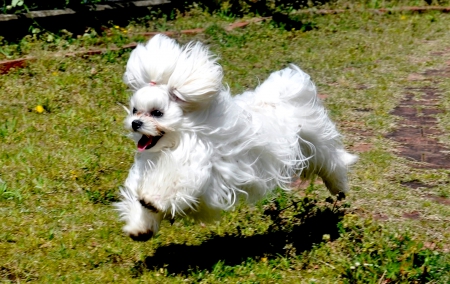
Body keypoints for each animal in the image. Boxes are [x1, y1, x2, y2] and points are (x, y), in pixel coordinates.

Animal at [114, 34, 356, 241]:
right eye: (135, 110)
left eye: (157, 112)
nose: (136, 123)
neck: (180, 137)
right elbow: (138, 199)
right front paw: (140, 227)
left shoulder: (193, 163)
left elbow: (172, 182)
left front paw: (151, 200)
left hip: (315, 141)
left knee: (332, 161)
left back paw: (338, 187)